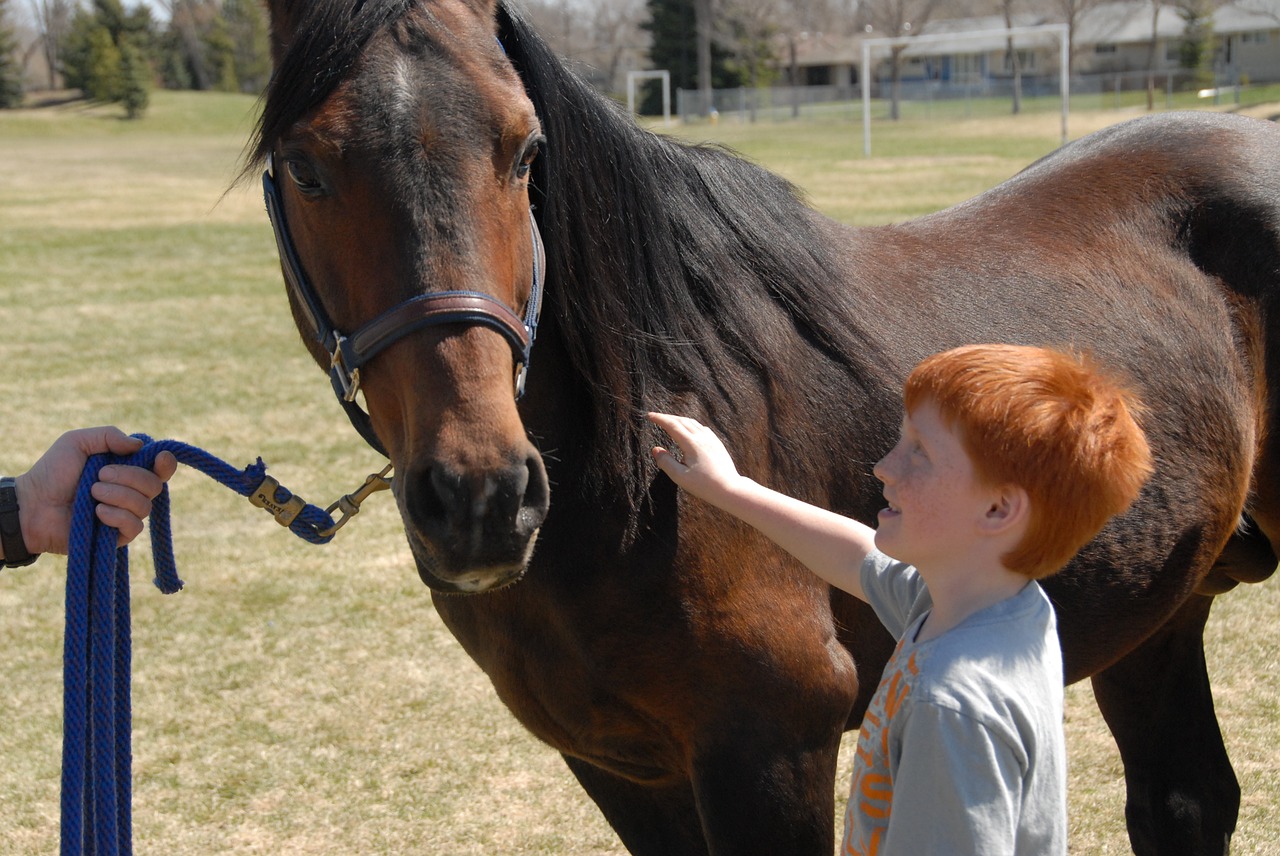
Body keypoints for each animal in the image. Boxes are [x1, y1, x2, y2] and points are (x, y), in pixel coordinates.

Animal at [247, 3, 1280, 849]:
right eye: (302, 166)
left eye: (526, 151)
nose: (482, 499)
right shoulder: (619, 763)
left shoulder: (769, 748)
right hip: (1156, 611)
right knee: (1187, 801)